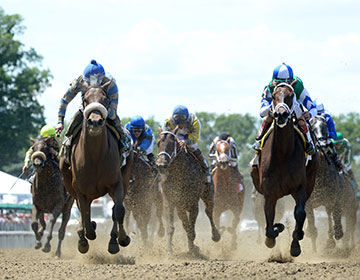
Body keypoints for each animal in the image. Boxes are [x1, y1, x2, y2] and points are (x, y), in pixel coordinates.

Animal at [59, 81, 134, 254]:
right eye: (85, 99)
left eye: (105, 100)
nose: (95, 122)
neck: (95, 157)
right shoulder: (80, 189)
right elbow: (85, 214)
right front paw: (85, 238)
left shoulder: (116, 184)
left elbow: (119, 211)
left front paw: (121, 240)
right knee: (82, 211)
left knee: (114, 212)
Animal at [158, 127, 222, 256]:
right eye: (158, 143)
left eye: (171, 143)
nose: (161, 164)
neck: (179, 173)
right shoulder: (170, 201)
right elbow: (174, 227)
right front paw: (169, 251)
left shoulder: (193, 203)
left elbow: (191, 227)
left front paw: (193, 249)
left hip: (208, 193)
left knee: (209, 212)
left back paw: (215, 235)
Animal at [250, 81, 320, 256]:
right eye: (274, 96)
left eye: (291, 95)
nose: (280, 114)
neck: (282, 153)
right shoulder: (269, 193)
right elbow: (269, 225)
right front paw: (276, 230)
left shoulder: (300, 187)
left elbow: (300, 213)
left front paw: (295, 244)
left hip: (309, 183)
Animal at [306, 115, 344, 250]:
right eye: (312, 128)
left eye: (325, 127)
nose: (323, 145)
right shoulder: (307, 204)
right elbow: (312, 228)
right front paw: (313, 251)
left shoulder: (332, 198)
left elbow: (333, 215)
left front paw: (333, 238)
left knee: (331, 214)